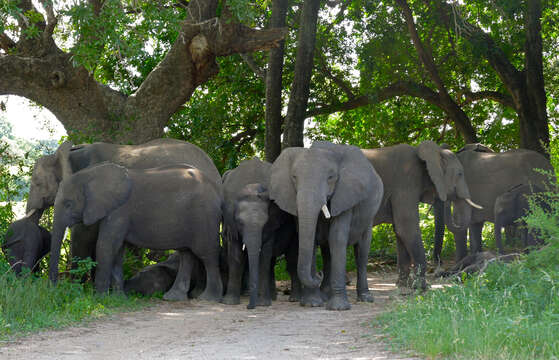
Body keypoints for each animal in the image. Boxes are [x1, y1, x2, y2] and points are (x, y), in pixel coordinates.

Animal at [48, 160, 223, 300]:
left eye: (68, 204)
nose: (54, 288)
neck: (91, 173)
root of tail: (216, 187)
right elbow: (117, 251)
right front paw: (118, 298)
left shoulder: (119, 211)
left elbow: (106, 246)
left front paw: (99, 299)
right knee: (186, 253)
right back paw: (173, 298)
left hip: (205, 216)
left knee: (207, 254)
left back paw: (208, 299)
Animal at [221, 158, 300, 310]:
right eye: (240, 223)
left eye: (265, 223)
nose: (249, 307)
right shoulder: (230, 221)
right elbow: (235, 256)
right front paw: (229, 302)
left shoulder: (272, 224)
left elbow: (264, 256)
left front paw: (263, 304)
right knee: (272, 262)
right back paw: (273, 297)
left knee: (291, 260)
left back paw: (294, 298)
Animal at [268, 141, 382, 310]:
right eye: (294, 177)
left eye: (330, 178)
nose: (317, 275)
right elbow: (311, 239)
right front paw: (312, 303)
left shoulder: (345, 195)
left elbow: (337, 238)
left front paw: (338, 308)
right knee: (328, 254)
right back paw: (325, 295)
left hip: (369, 215)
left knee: (361, 252)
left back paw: (365, 298)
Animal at [364, 141, 482, 290]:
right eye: (460, 174)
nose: (439, 268)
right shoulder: (406, 182)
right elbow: (406, 228)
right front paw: (422, 287)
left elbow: (399, 230)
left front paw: (403, 285)